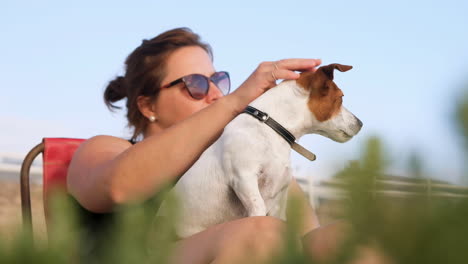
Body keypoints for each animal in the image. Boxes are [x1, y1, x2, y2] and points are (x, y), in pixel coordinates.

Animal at [157, 63, 362, 237]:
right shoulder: (243, 178)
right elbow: (258, 210)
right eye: (341, 97)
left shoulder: (279, 200)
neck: (270, 127)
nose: (360, 123)